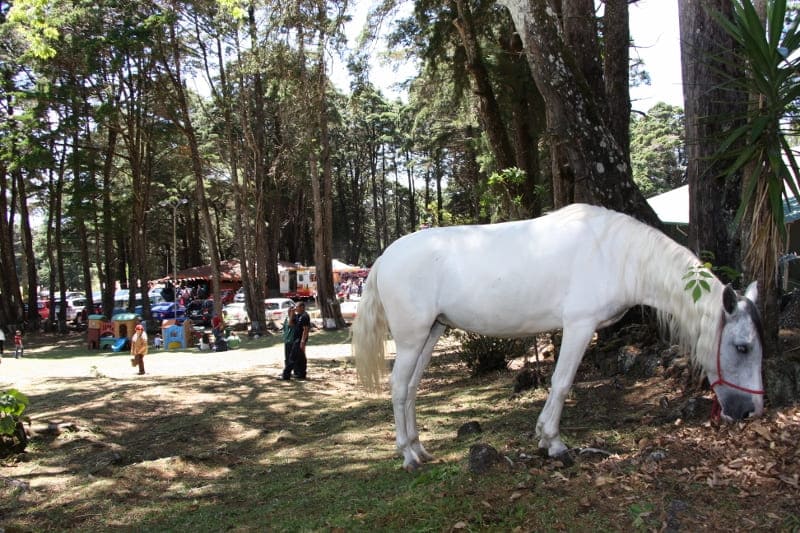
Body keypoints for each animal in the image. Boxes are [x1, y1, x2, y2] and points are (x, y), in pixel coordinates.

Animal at [354, 203, 764, 470]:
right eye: (742, 347)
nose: (750, 412)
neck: (617, 254)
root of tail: (384, 258)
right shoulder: (580, 326)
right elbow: (562, 382)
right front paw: (552, 442)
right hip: (411, 339)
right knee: (398, 387)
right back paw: (407, 455)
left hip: (431, 333)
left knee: (411, 388)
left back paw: (420, 449)